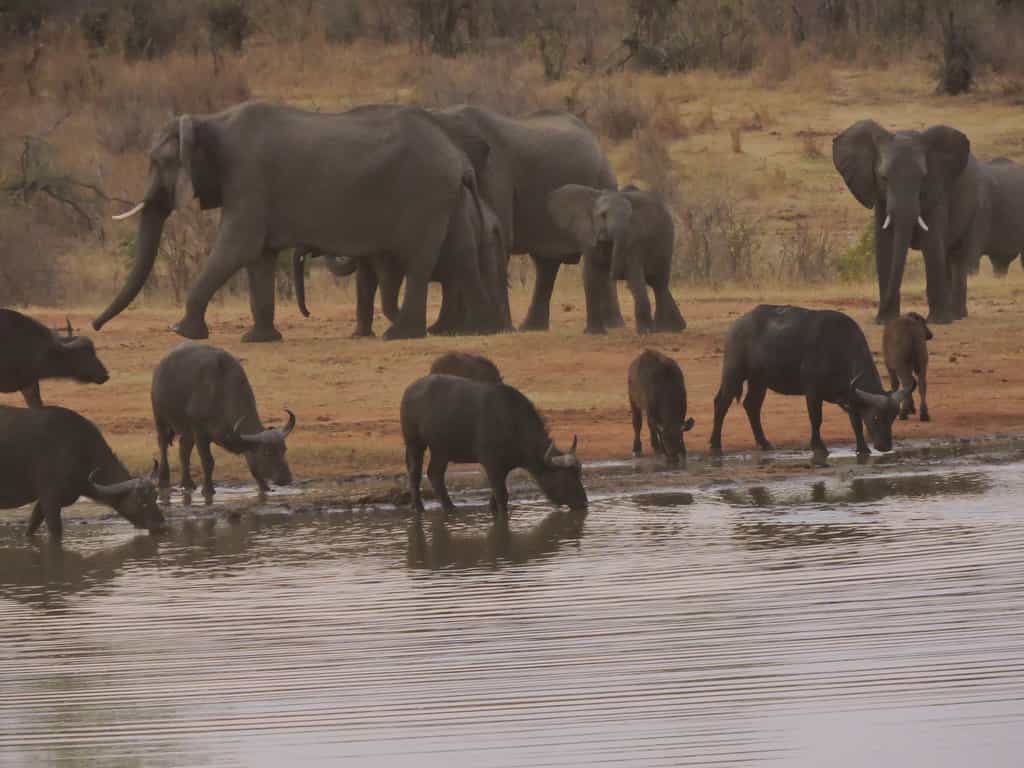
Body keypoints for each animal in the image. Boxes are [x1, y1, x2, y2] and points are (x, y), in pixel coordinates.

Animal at [96, 101, 490, 342]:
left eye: (158, 163)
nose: (94, 325)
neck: (209, 121)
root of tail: (458, 155)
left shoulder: (248, 176)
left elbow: (238, 247)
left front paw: (181, 331)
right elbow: (258, 258)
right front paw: (259, 339)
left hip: (425, 192)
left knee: (421, 261)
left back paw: (404, 334)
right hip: (446, 196)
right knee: (462, 255)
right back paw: (474, 332)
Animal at [547, 184, 686, 334]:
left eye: (630, 218)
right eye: (603, 215)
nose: (615, 275)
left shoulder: (633, 241)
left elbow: (635, 276)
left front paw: (644, 332)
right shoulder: (589, 237)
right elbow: (591, 277)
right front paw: (594, 333)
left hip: (666, 242)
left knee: (659, 284)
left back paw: (663, 329)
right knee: (655, 282)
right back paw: (673, 328)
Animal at [833, 120, 1024, 324]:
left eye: (923, 178)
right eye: (883, 178)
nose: (877, 313)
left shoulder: (938, 190)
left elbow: (932, 244)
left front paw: (938, 322)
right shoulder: (880, 198)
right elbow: (886, 246)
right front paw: (886, 321)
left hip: (975, 206)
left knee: (960, 257)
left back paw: (956, 316)